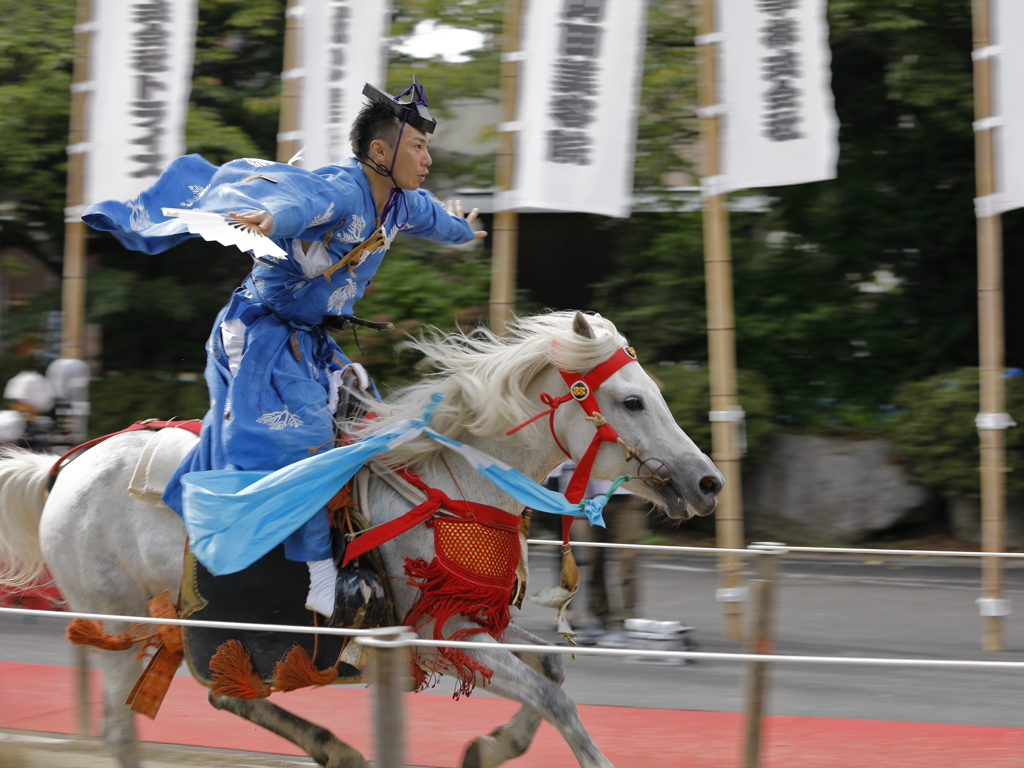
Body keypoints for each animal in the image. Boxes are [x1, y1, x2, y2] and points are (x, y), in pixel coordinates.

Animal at [0, 313, 720, 768]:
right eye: (631, 401)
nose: (708, 481)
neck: (455, 481)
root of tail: (64, 466)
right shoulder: (442, 629)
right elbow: (553, 696)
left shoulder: (478, 620)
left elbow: (552, 669)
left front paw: (488, 747)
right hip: (118, 619)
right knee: (124, 730)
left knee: (225, 692)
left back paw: (337, 749)